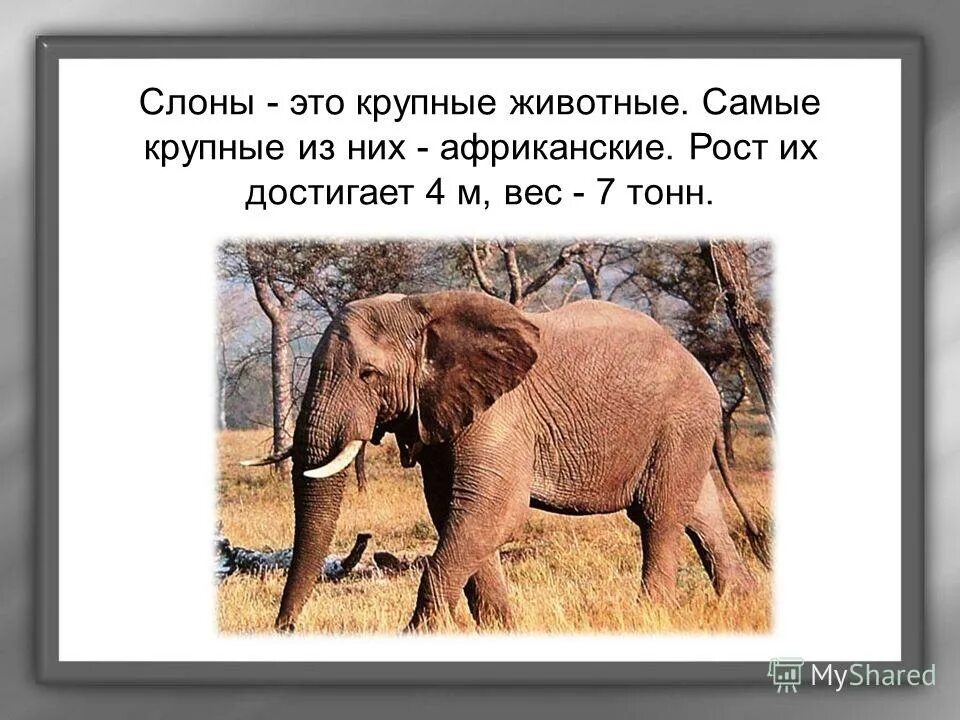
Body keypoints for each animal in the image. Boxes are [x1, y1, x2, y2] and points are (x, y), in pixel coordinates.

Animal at [244, 290, 770, 633]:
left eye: (369, 374)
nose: (285, 629)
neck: (423, 309)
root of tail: (697, 364)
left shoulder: (499, 414)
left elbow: (493, 512)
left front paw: (418, 636)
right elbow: (454, 514)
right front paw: (500, 629)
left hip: (680, 420)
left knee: (658, 517)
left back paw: (650, 616)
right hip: (681, 430)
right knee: (700, 514)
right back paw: (742, 603)